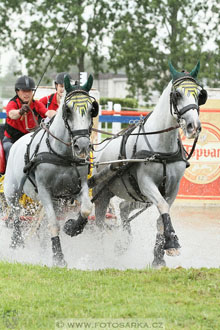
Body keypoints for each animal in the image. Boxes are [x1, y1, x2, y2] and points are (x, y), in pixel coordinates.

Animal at [3, 74, 98, 266]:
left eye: (92, 109)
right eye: (68, 110)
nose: (83, 146)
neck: (61, 155)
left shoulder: (76, 188)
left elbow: (86, 208)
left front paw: (73, 227)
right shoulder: (44, 191)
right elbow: (53, 223)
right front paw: (58, 257)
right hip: (12, 191)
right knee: (15, 215)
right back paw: (17, 243)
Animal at [90, 62, 206, 268]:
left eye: (200, 94)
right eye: (177, 94)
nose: (194, 126)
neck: (162, 148)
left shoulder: (172, 188)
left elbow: (162, 215)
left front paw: (159, 256)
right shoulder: (147, 184)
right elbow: (162, 206)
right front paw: (172, 242)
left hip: (136, 195)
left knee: (123, 208)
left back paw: (123, 242)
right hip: (103, 193)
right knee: (100, 222)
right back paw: (100, 254)